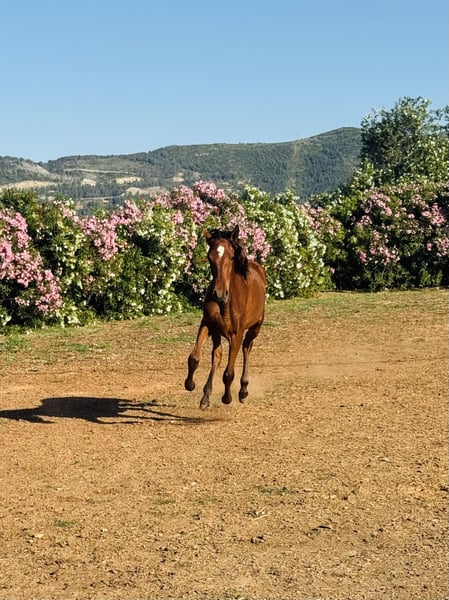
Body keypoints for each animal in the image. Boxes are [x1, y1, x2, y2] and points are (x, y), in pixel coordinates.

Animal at [185, 225, 266, 409]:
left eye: (231, 257)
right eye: (210, 257)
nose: (219, 294)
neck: (226, 303)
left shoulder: (236, 334)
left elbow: (228, 373)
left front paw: (227, 398)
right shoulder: (207, 324)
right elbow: (194, 358)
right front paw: (190, 385)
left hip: (255, 328)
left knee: (247, 348)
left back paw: (243, 391)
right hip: (217, 332)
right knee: (218, 355)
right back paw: (206, 396)